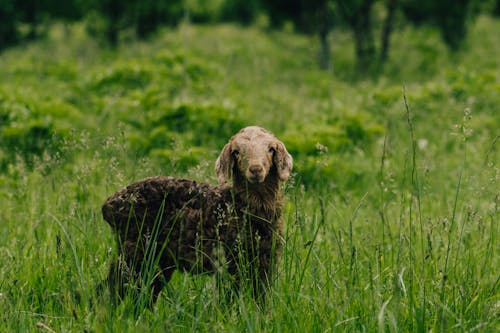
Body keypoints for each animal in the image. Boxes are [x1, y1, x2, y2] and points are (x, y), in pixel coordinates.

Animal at [101, 126, 292, 302]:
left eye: (271, 149)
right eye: (236, 152)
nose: (255, 169)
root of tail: (109, 205)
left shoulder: (266, 262)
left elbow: (261, 300)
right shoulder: (228, 262)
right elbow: (230, 300)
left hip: (158, 261)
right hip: (135, 253)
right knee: (110, 290)